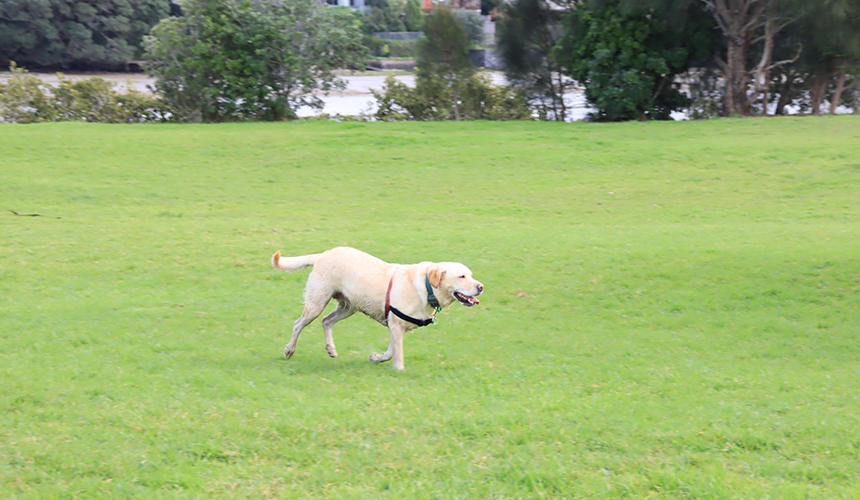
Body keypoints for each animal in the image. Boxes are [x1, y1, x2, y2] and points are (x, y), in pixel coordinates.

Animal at [270, 247, 484, 370]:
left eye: (471, 275)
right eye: (462, 276)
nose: (481, 286)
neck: (427, 287)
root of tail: (323, 254)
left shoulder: (397, 327)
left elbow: (390, 351)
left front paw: (376, 358)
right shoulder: (396, 325)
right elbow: (398, 355)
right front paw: (399, 370)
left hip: (349, 306)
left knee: (326, 321)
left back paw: (331, 349)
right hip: (316, 303)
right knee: (298, 324)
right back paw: (289, 350)